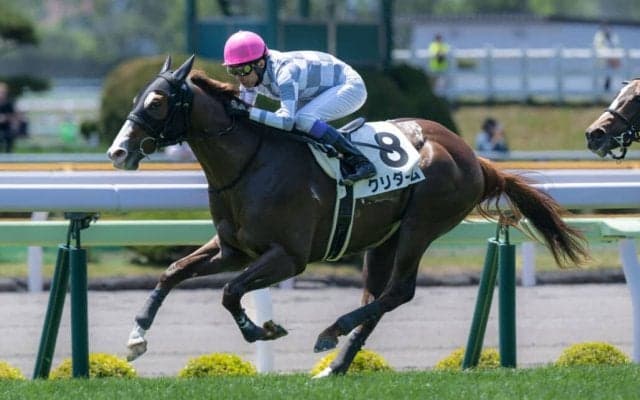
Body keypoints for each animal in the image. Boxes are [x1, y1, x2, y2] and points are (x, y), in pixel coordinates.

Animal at [107, 55, 588, 377]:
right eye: (136, 97)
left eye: (157, 102)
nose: (117, 152)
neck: (251, 162)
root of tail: (475, 157)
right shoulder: (234, 249)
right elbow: (173, 272)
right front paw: (136, 338)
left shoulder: (289, 257)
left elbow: (229, 292)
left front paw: (262, 330)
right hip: (383, 240)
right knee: (377, 297)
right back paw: (335, 365)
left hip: (420, 227)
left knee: (398, 292)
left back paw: (331, 331)